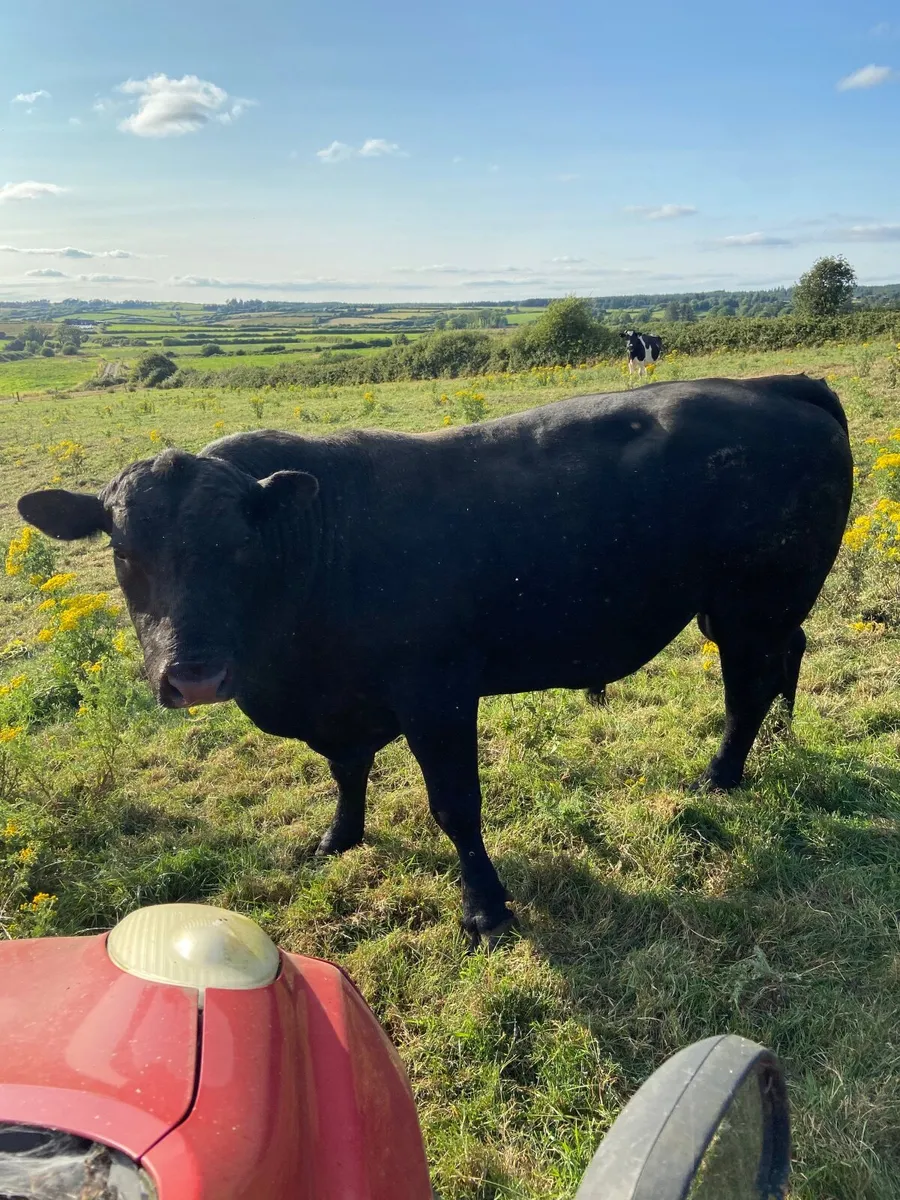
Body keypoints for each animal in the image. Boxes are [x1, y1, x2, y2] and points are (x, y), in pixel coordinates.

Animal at [18, 375, 852, 948]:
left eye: (239, 546)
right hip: (744, 609)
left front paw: (485, 909)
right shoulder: (343, 704)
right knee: (786, 660)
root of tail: (775, 386)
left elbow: (455, 806)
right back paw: (781, 736)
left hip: (751, 604)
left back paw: (722, 774)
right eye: (126, 554)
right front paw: (339, 837)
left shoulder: (437, 693)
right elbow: (346, 772)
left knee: (747, 689)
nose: (193, 676)